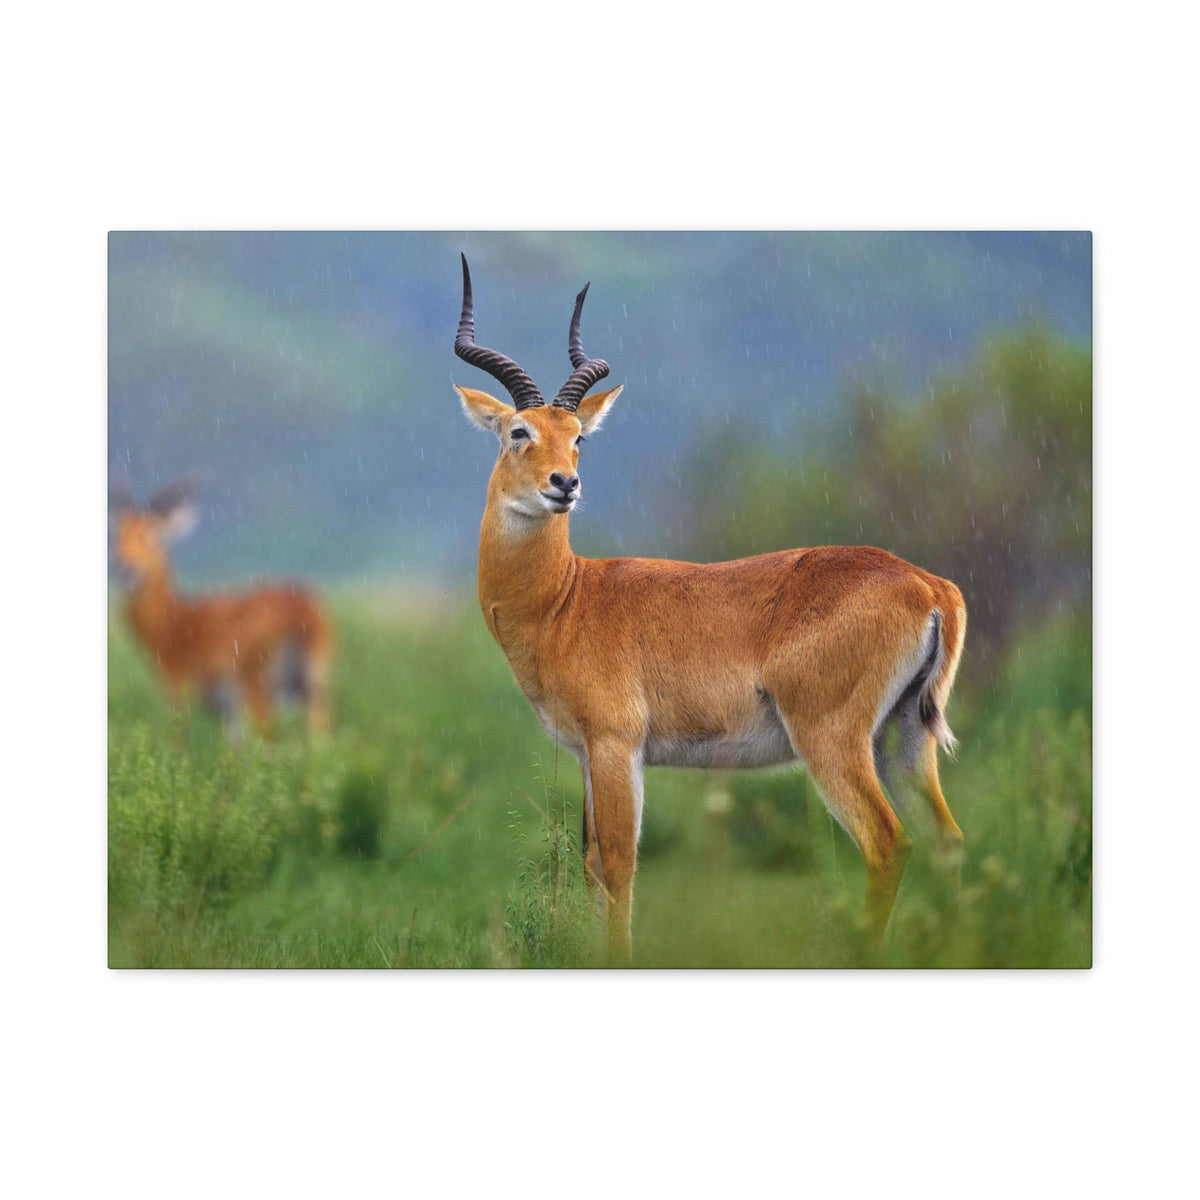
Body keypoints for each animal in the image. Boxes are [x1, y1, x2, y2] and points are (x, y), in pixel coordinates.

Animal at [110, 478, 333, 738]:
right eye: (115, 536)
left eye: (151, 536)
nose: (123, 567)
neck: (172, 620)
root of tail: (301, 607)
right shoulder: (229, 711)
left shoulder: (178, 686)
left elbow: (180, 736)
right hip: (312, 685)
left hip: (259, 686)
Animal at [452, 255, 966, 961]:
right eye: (518, 431)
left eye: (579, 436)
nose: (565, 484)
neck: (565, 600)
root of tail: (927, 584)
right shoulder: (586, 753)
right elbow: (590, 863)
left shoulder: (616, 744)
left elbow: (617, 864)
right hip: (904, 736)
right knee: (947, 843)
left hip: (832, 739)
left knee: (888, 843)